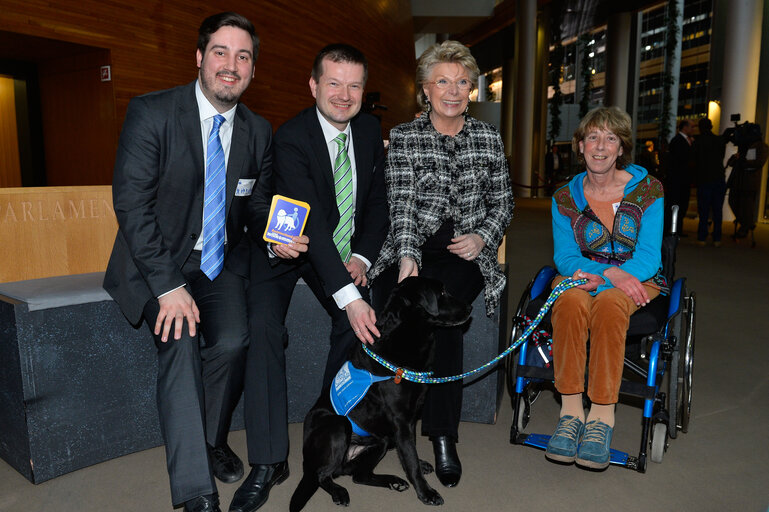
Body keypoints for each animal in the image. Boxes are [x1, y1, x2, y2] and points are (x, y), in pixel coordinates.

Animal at [288, 278, 468, 510]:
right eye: (442, 293)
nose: (470, 308)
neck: (405, 336)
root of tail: (306, 458)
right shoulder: (401, 421)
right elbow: (410, 458)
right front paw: (426, 492)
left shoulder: (409, 420)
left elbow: (410, 450)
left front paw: (420, 467)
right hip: (339, 425)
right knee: (323, 475)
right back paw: (339, 492)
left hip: (379, 441)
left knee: (359, 476)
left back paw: (393, 482)